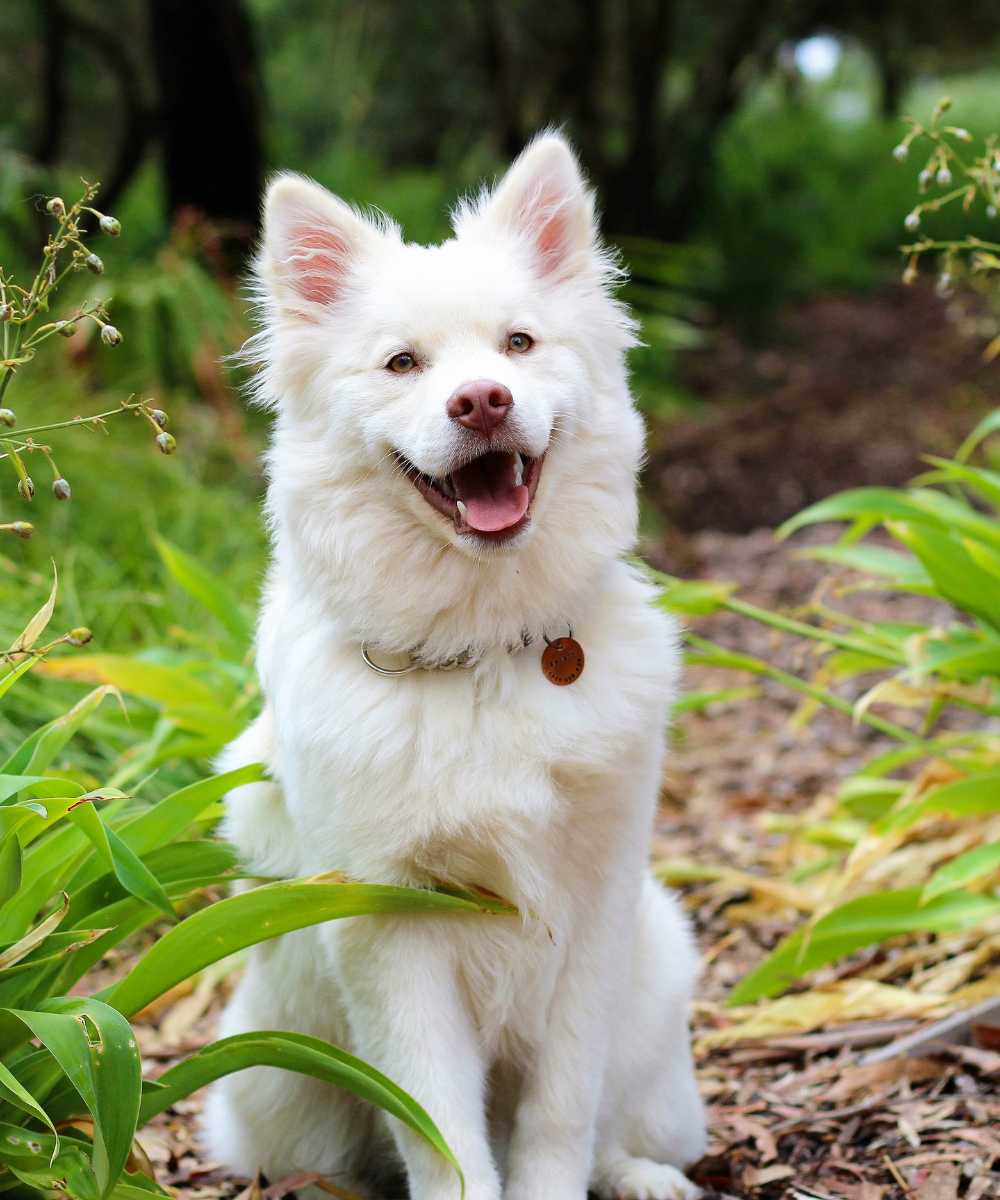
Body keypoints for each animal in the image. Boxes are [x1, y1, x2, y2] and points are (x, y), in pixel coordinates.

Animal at [202, 133, 701, 1200]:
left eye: (517, 345)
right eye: (403, 364)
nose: (481, 402)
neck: (483, 652)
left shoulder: (593, 909)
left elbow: (561, 1112)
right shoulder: (391, 928)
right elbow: (440, 1133)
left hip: (657, 972)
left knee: (616, 1126)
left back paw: (639, 1174)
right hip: (274, 1078)